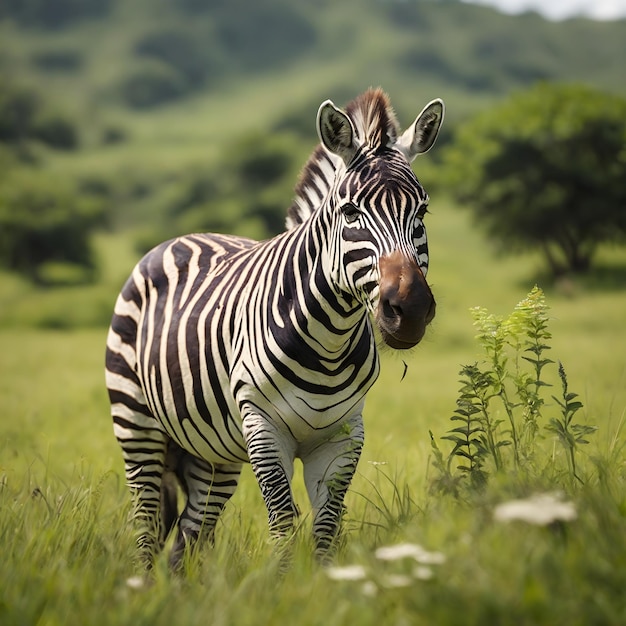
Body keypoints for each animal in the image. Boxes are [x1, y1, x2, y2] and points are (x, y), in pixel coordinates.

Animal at [105, 88, 442, 564]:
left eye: (423, 210)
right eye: (350, 211)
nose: (409, 309)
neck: (329, 343)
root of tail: (181, 238)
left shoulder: (344, 435)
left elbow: (326, 527)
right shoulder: (263, 428)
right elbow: (282, 522)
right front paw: (283, 583)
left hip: (212, 452)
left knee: (188, 537)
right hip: (135, 422)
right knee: (147, 522)